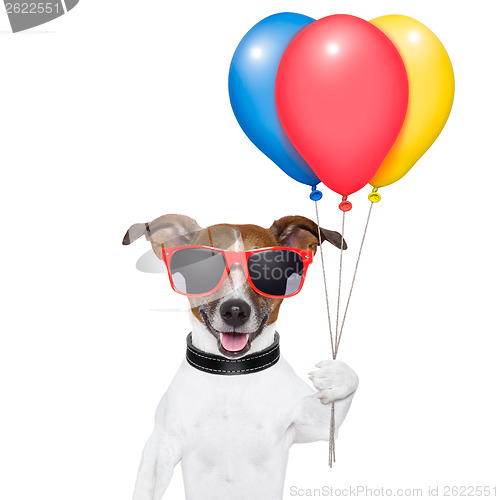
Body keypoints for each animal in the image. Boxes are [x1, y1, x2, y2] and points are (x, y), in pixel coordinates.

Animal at [124, 214, 360, 500]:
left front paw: (333, 377)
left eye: (267, 271)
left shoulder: (313, 423)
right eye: (205, 269)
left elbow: (347, 385)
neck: (232, 374)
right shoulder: (161, 444)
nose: (235, 311)